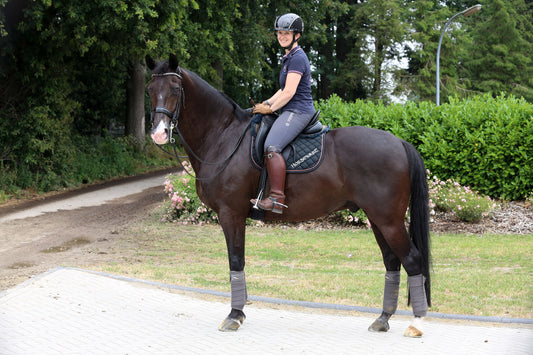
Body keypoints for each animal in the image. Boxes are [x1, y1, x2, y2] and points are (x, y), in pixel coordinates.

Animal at [147, 54, 432, 338]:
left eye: (175, 89)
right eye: (150, 90)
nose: (159, 133)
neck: (224, 137)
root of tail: (400, 143)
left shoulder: (231, 213)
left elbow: (235, 261)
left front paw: (234, 315)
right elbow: (238, 263)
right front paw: (241, 310)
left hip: (388, 221)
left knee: (412, 259)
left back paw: (416, 323)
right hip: (377, 219)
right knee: (392, 261)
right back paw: (383, 319)